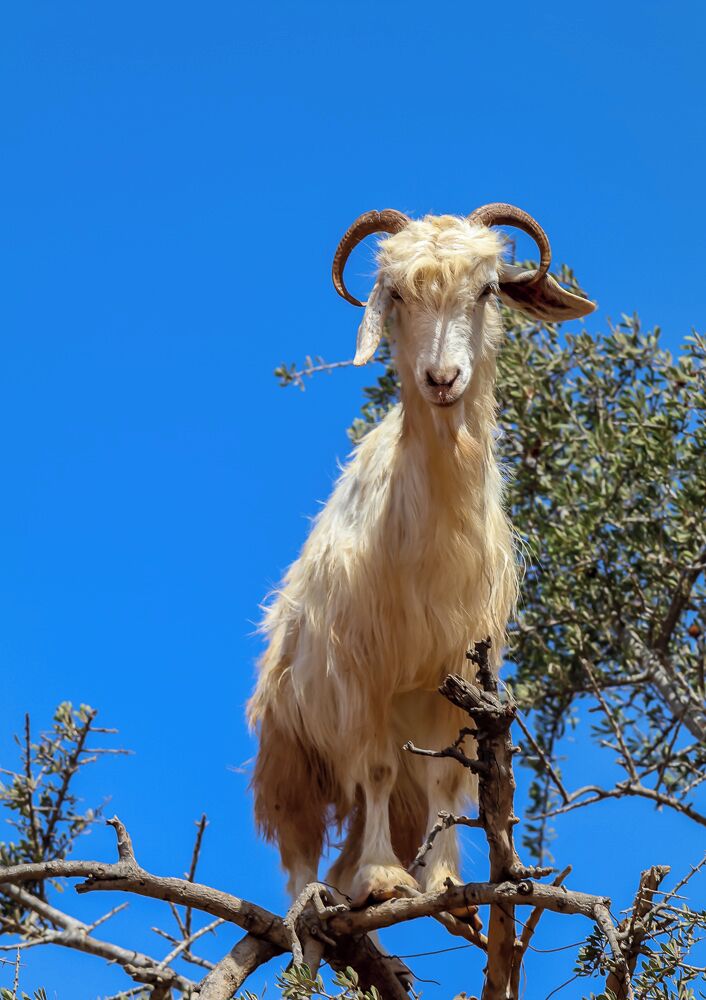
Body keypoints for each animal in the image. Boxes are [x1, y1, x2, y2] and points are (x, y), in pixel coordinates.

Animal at [247, 204, 594, 906]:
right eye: (399, 295)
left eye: (487, 290)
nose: (441, 380)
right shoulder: (363, 677)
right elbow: (378, 769)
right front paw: (384, 881)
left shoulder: (452, 675)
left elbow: (444, 780)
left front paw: (445, 884)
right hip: (290, 750)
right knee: (301, 840)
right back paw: (311, 905)